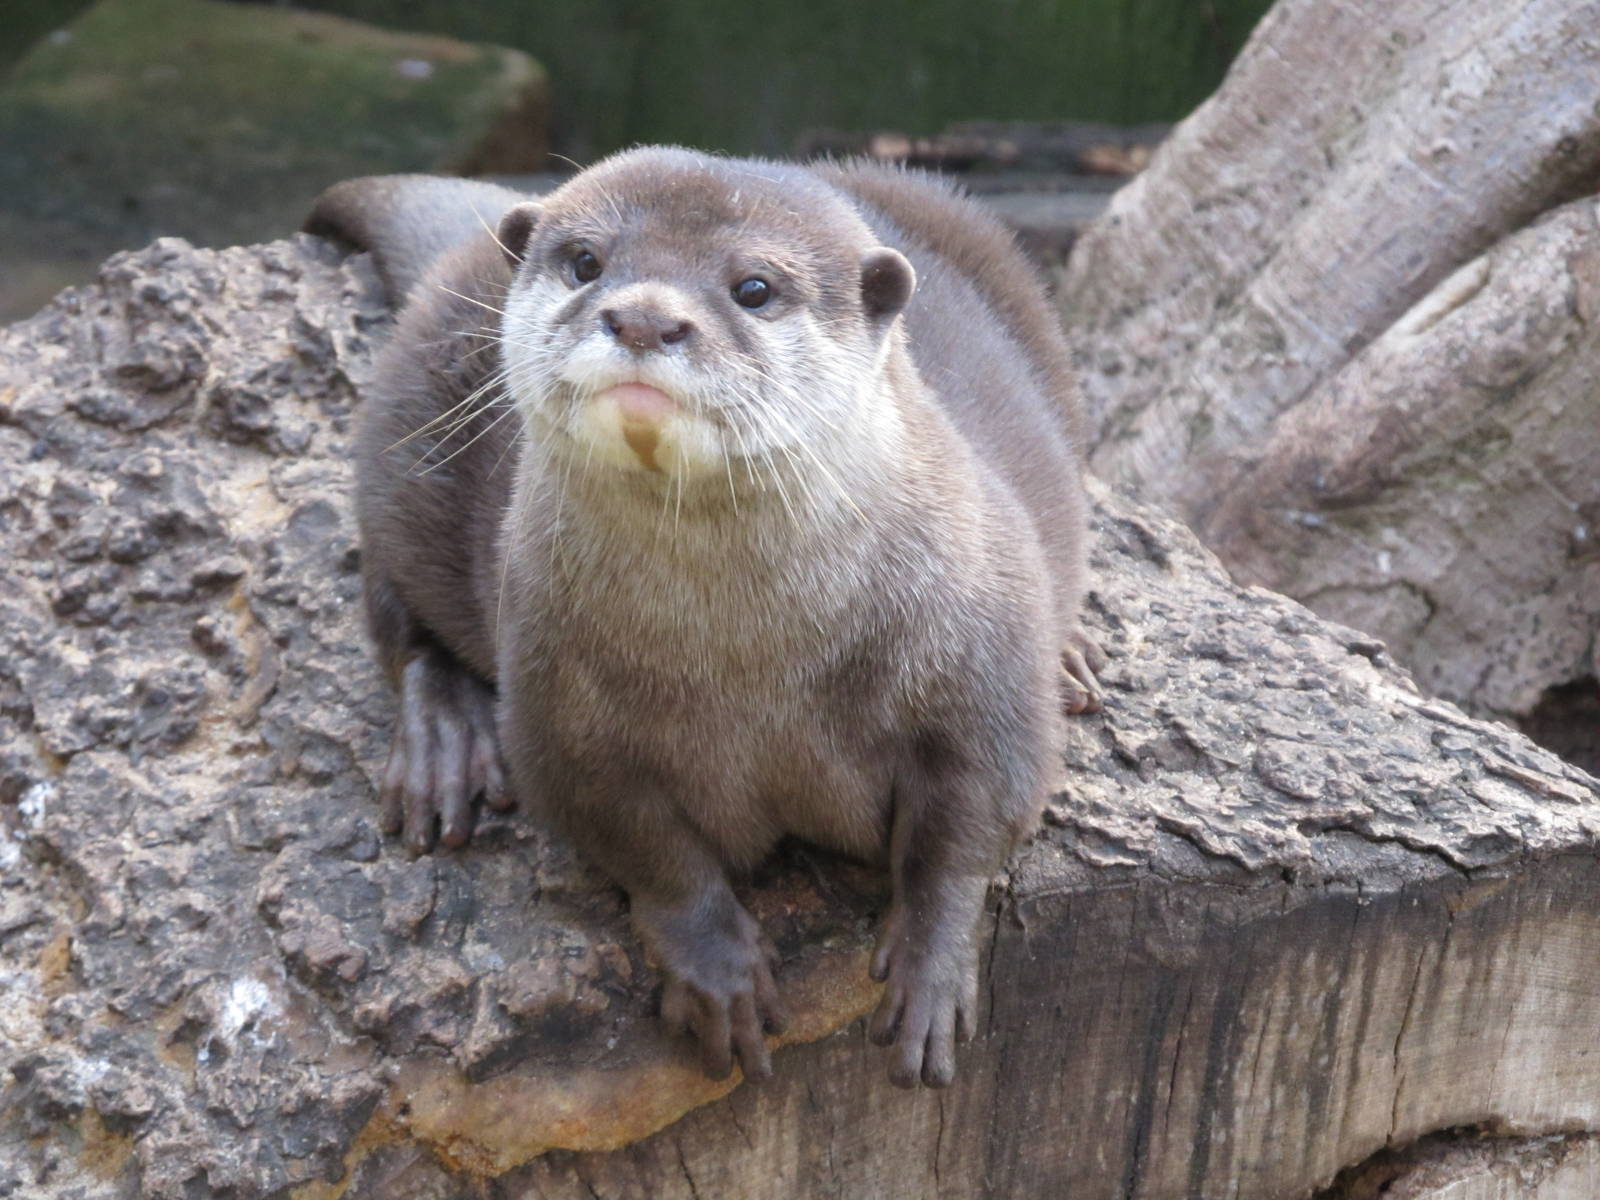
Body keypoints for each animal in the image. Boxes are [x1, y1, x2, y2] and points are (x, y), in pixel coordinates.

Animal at [306, 148, 1102, 1089]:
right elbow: (640, 843)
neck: (756, 662)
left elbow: (974, 823)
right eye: (586, 262)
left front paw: (932, 976)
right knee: (398, 614)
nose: (646, 317)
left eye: (753, 287)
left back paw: (1073, 660)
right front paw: (720, 974)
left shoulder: (984, 662)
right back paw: (444, 743)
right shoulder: (558, 703)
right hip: (397, 446)